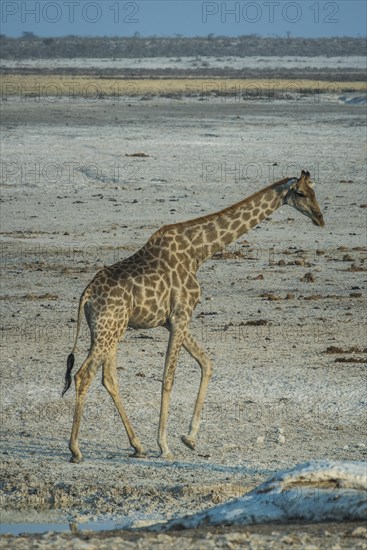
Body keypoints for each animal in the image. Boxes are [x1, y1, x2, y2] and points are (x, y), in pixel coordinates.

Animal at [62, 170, 324, 464]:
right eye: (300, 193)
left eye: (315, 192)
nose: (320, 217)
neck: (199, 251)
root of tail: (86, 295)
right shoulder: (181, 315)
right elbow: (168, 378)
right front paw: (164, 445)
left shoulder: (173, 320)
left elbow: (206, 363)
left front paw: (190, 437)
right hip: (109, 330)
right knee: (83, 375)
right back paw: (76, 450)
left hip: (109, 331)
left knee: (108, 378)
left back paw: (137, 445)